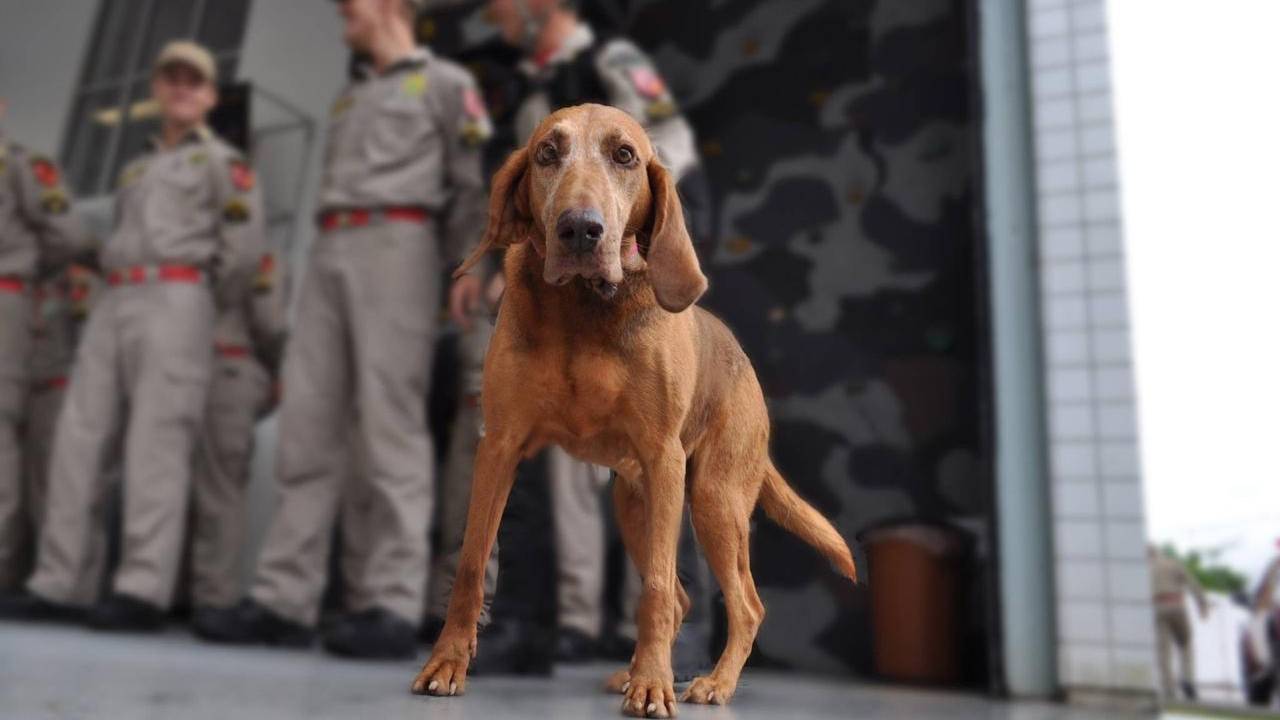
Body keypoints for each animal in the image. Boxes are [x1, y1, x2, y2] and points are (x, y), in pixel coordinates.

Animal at [411, 104, 857, 717]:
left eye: (624, 155)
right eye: (547, 152)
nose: (580, 229)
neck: (581, 307)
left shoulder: (662, 456)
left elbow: (655, 591)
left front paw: (653, 685)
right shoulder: (499, 447)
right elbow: (473, 563)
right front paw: (447, 663)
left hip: (711, 500)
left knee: (737, 603)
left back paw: (710, 683)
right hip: (633, 503)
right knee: (683, 597)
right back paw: (640, 670)